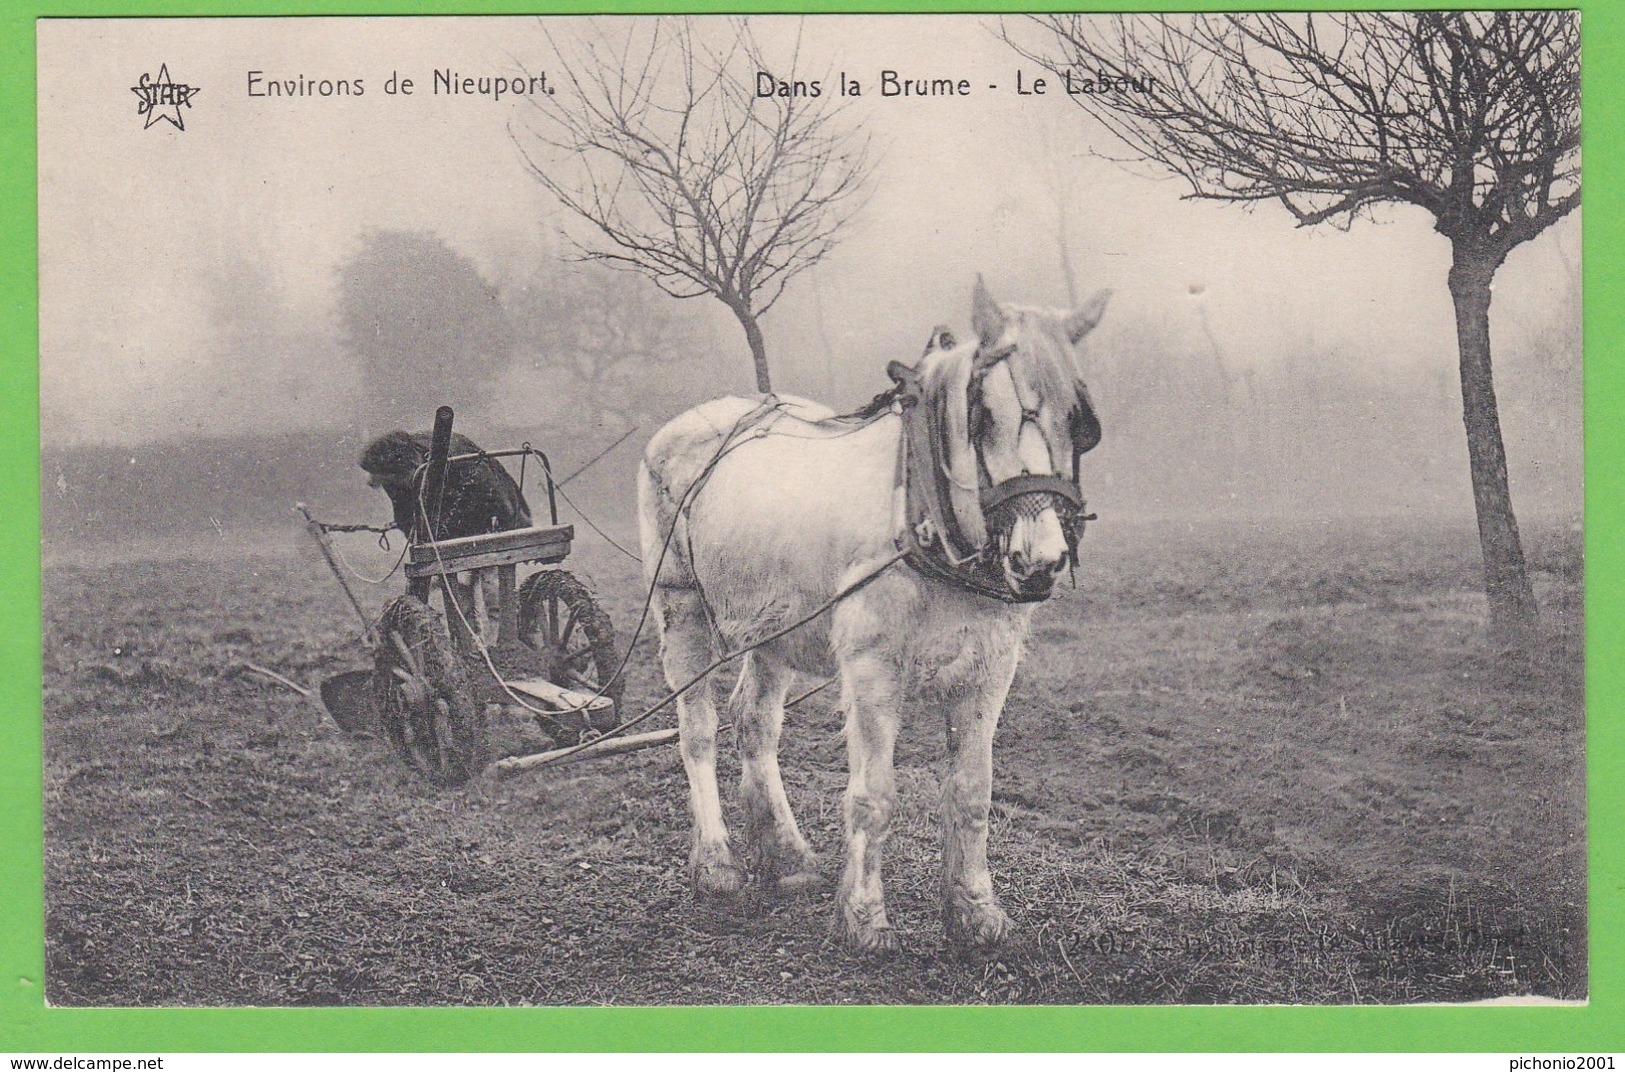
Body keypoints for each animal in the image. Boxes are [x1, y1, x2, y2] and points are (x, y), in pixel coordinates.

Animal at [630, 276, 1105, 948]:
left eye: (1079, 423)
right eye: (983, 416)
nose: (1039, 560)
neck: (921, 516)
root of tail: (688, 422)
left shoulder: (990, 671)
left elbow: (972, 792)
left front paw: (975, 908)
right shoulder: (874, 666)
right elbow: (873, 796)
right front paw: (863, 916)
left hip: (774, 626)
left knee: (755, 723)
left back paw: (786, 855)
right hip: (682, 608)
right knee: (696, 728)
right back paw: (718, 860)